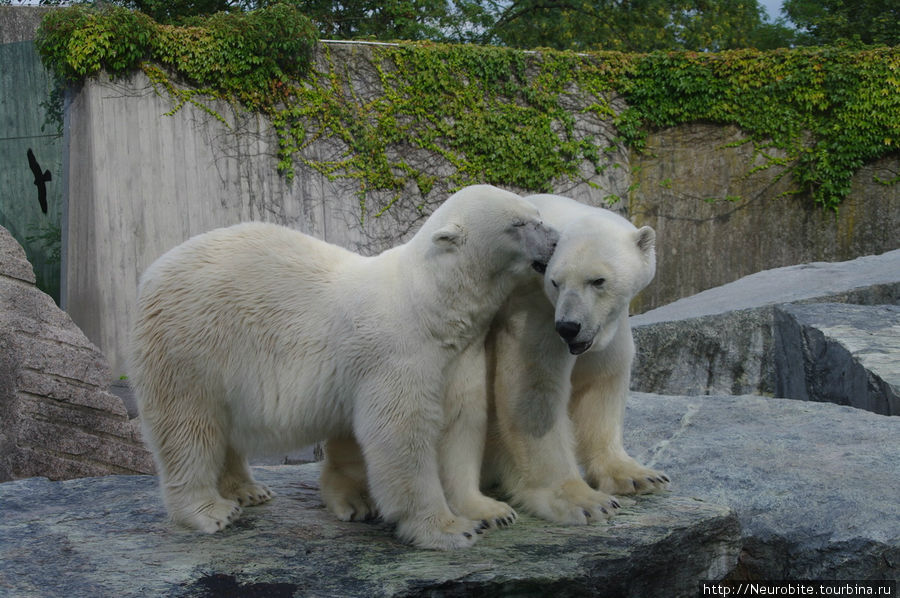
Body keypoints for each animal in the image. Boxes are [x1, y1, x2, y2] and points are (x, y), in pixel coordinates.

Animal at [130, 185, 560, 552]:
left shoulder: (459, 355)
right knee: (188, 425)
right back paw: (210, 511)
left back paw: (247, 490)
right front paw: (449, 529)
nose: (557, 240)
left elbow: (461, 422)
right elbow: (402, 434)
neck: (432, 305)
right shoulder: (400, 352)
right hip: (193, 343)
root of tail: (154, 270)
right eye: (518, 224)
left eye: (537, 214)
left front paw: (491, 510)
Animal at [486, 195, 668, 528]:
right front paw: (585, 502)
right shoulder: (534, 309)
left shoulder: (609, 326)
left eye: (598, 280)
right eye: (555, 281)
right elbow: (534, 391)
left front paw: (639, 476)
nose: (569, 327)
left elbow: (602, 380)